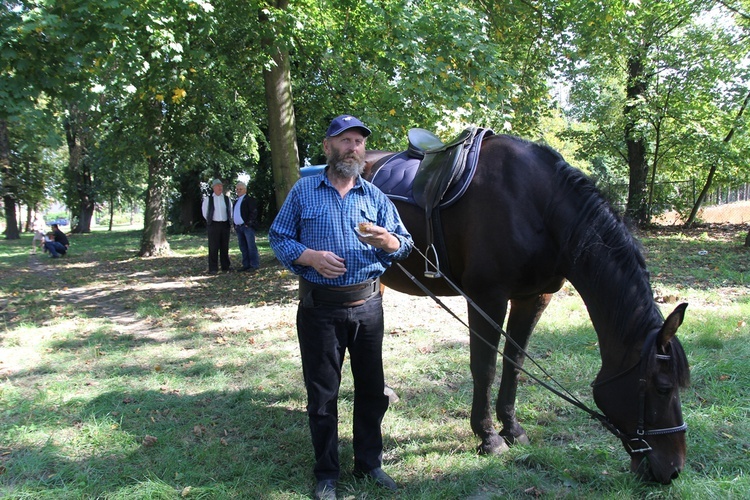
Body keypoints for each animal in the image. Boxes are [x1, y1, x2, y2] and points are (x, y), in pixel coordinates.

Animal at [362, 133, 692, 484]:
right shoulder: (487, 298)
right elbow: (485, 367)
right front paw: (488, 437)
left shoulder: (534, 297)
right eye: (663, 388)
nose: (673, 469)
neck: (538, 207)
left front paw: (512, 429)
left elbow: (514, 363)